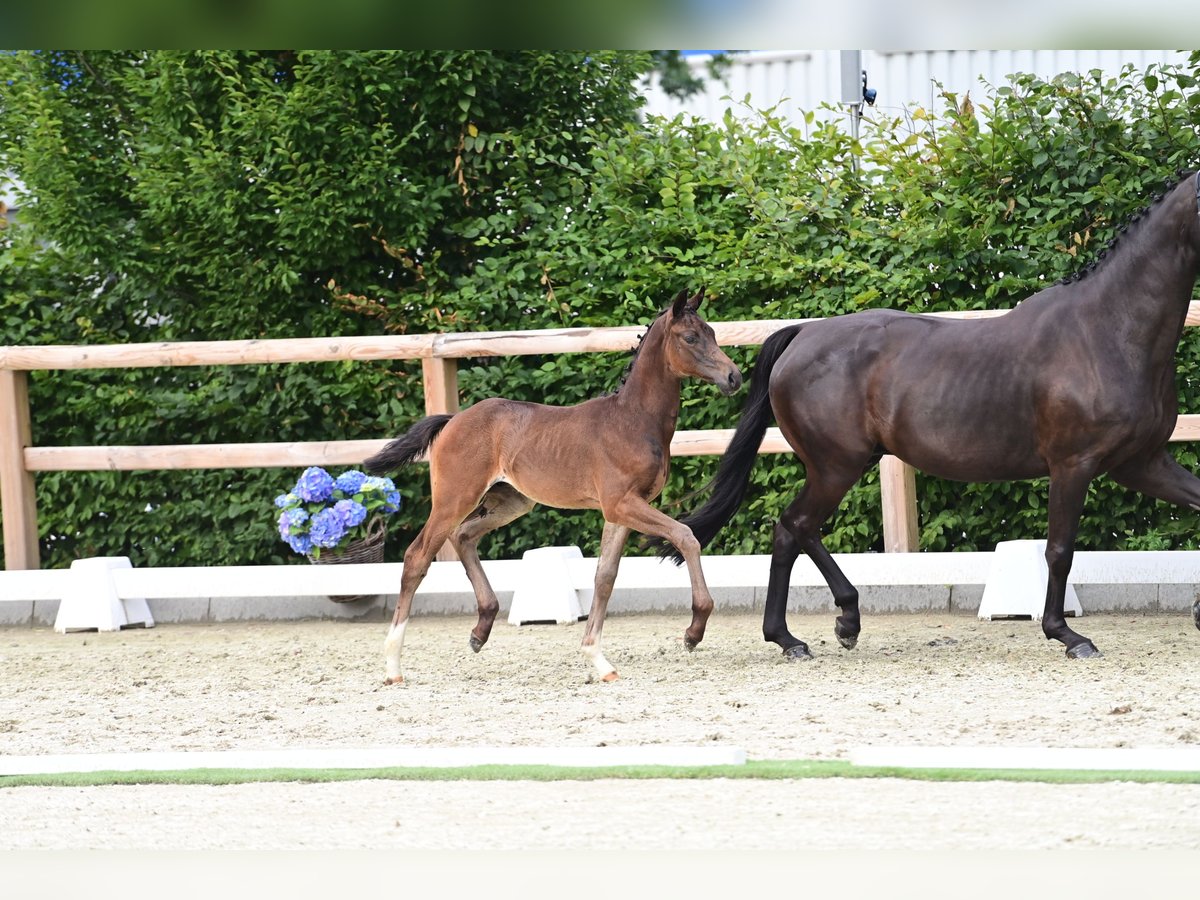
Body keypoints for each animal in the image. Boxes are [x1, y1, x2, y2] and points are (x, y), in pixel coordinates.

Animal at [364, 289, 739, 681]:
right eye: (691, 337)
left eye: (712, 332)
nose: (734, 377)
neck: (633, 421)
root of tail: (453, 420)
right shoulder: (622, 503)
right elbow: (686, 536)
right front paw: (694, 630)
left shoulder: (620, 511)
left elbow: (605, 576)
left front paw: (597, 658)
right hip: (455, 499)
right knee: (417, 557)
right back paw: (393, 664)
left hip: (511, 501)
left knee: (462, 536)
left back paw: (481, 629)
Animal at [662, 170, 1200, 662]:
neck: (1107, 331)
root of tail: (803, 335)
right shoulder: (1074, 465)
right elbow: (1060, 551)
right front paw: (1067, 635)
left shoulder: (1140, 462)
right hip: (837, 465)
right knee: (793, 527)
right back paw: (799, 635)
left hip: (841, 465)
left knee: (798, 531)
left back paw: (830, 625)